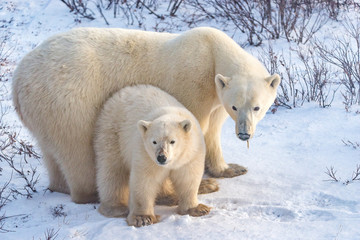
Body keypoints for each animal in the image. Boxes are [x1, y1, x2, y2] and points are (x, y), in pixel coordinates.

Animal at [12, 26, 280, 203]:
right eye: (236, 107)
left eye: (257, 107)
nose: (244, 134)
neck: (211, 52)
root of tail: (18, 80)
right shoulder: (192, 85)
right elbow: (190, 131)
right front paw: (203, 184)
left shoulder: (215, 98)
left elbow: (212, 131)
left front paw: (230, 169)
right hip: (69, 101)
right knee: (78, 149)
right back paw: (91, 192)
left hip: (42, 111)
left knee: (51, 151)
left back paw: (59, 186)